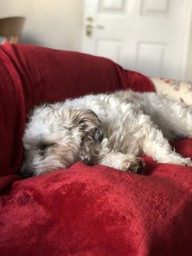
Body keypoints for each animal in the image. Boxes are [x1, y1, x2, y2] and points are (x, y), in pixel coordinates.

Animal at [21, 89, 192, 177]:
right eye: (25, 151)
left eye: (45, 146)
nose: (24, 174)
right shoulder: (99, 157)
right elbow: (110, 159)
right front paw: (128, 163)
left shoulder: (144, 128)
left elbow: (161, 149)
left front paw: (178, 161)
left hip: (181, 120)